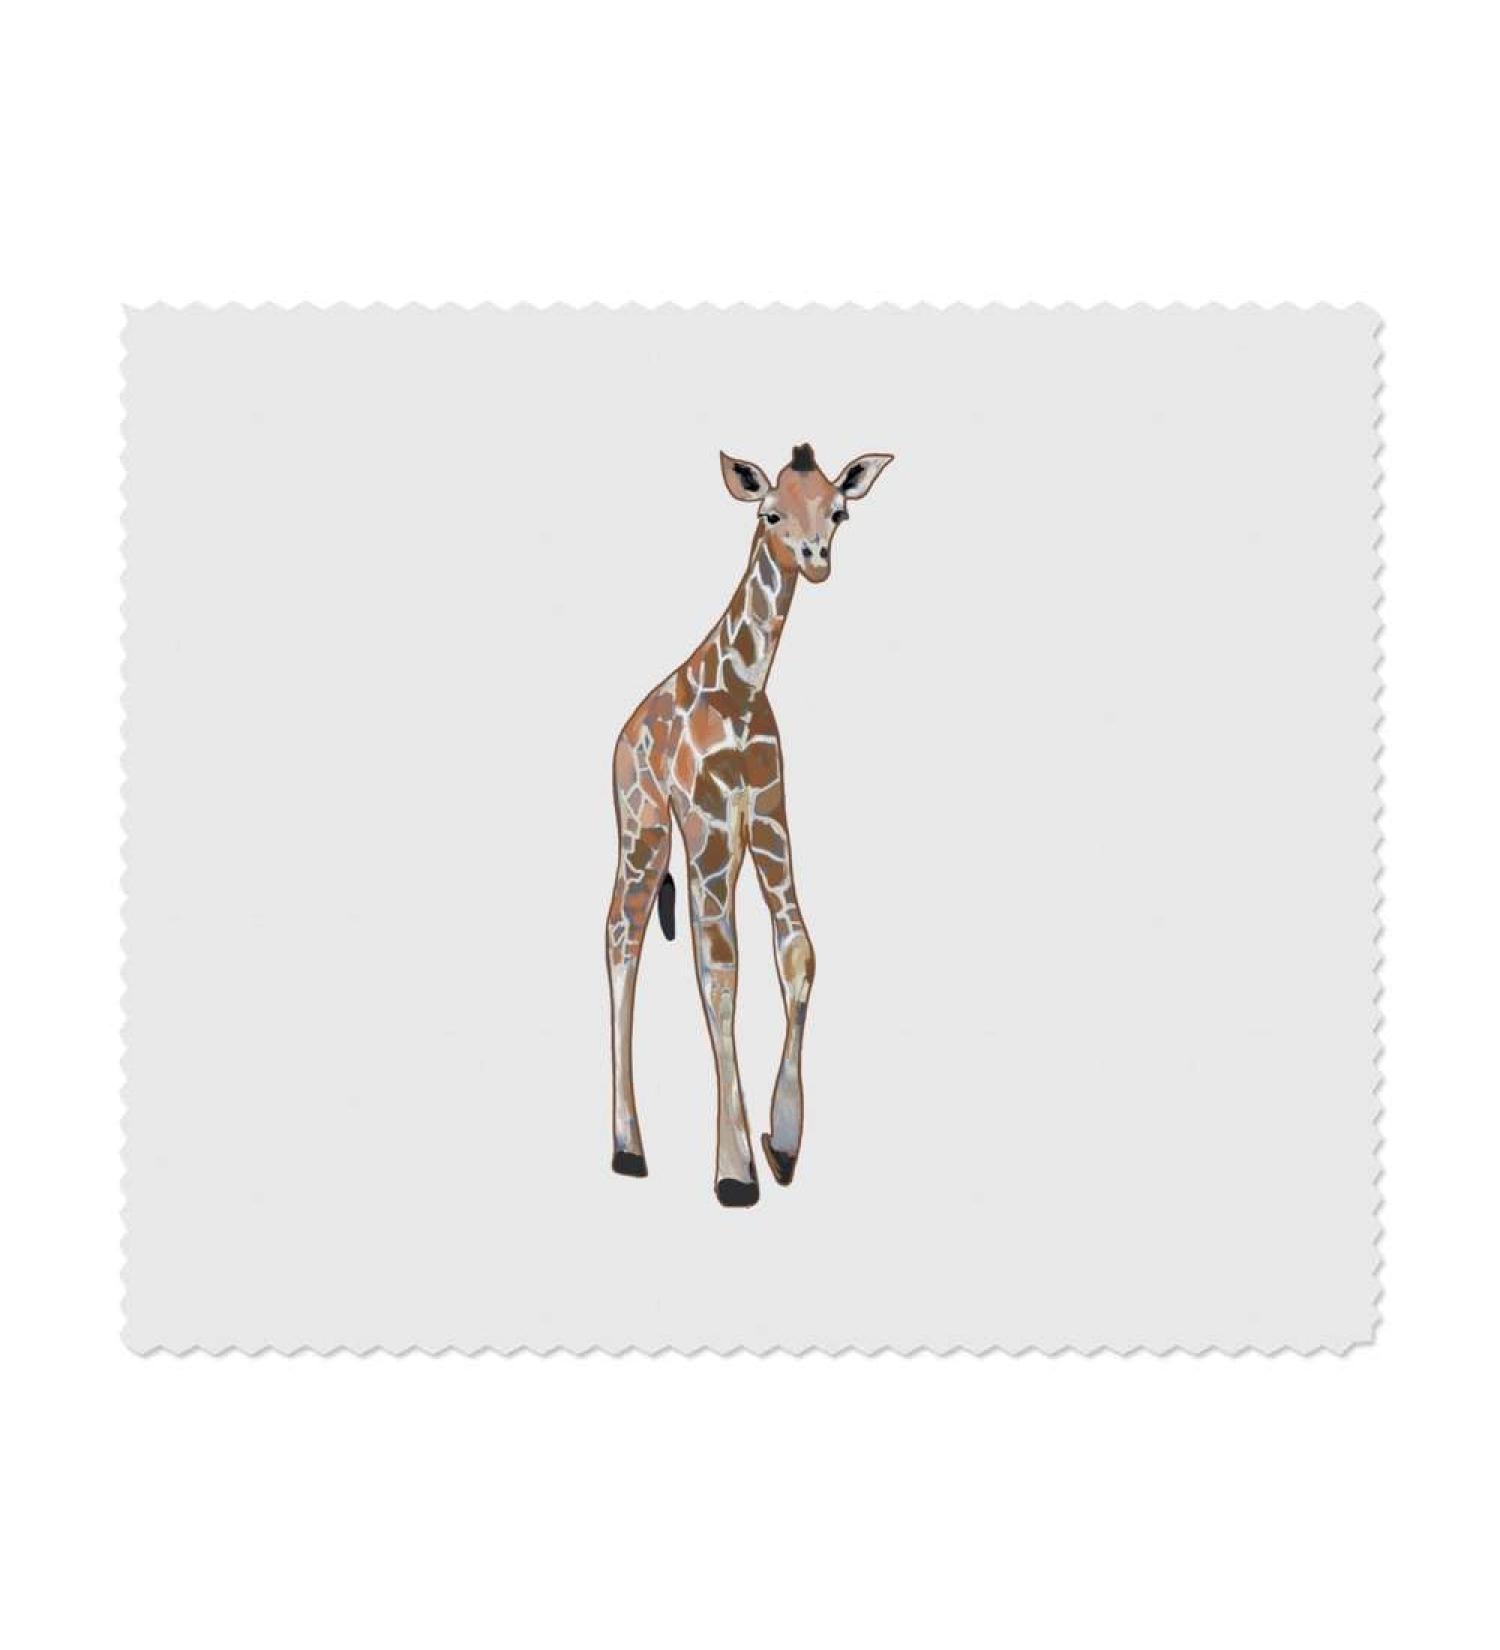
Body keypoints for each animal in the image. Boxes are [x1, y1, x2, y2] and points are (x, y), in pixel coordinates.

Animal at [605, 442, 894, 1206]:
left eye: (838, 510)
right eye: (769, 512)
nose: (816, 559)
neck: (740, 688)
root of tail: (622, 734)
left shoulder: (766, 816)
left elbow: (797, 951)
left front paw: (783, 1142)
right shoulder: (707, 820)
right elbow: (720, 968)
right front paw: (734, 1171)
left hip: (711, 847)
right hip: (644, 829)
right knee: (620, 937)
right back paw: (628, 1148)